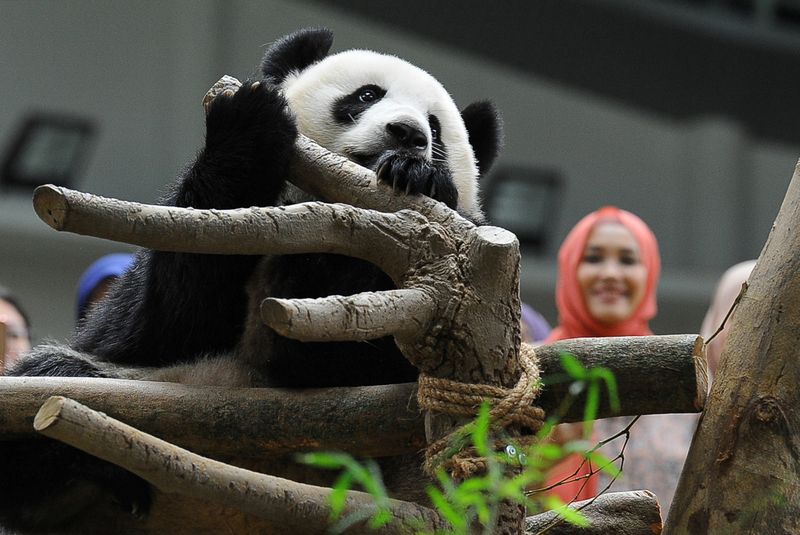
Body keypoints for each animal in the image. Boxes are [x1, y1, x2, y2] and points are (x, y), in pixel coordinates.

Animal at [0, 28, 500, 532]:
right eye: (366, 95)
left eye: (435, 128)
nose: (408, 135)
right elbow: (166, 315)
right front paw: (251, 121)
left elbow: (342, 354)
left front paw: (419, 176)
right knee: (51, 383)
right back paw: (100, 469)